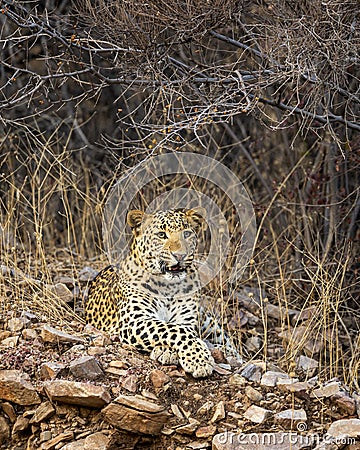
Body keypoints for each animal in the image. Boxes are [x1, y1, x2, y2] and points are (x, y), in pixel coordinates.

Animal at [86, 207, 235, 376]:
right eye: (161, 235)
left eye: (186, 234)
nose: (180, 255)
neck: (168, 287)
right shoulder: (135, 320)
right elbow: (174, 330)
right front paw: (198, 360)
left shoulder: (187, 319)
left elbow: (182, 330)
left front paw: (189, 356)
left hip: (207, 320)